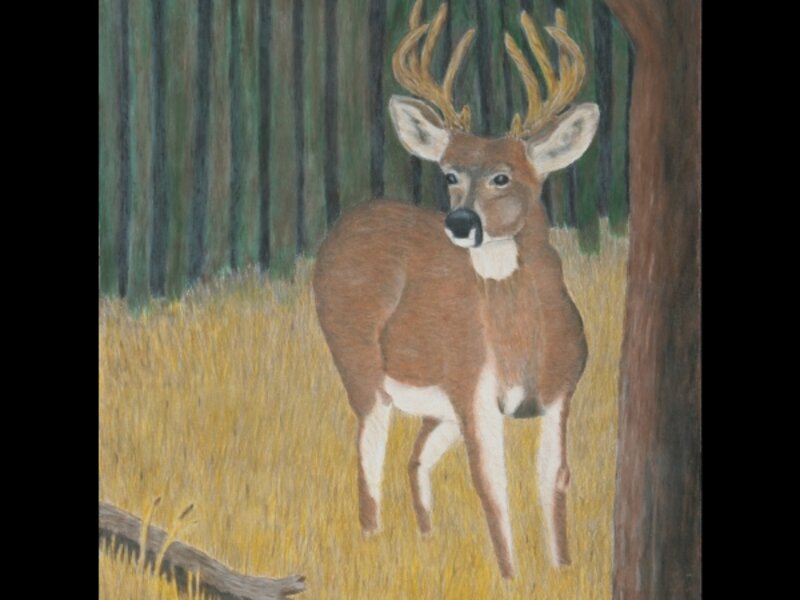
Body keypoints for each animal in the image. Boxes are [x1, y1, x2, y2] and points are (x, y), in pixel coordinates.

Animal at [312, 0, 597, 579]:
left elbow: (554, 481)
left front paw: (561, 568)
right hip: (358, 362)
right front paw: (510, 578)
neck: (519, 344)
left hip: (435, 406)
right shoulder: (473, 386)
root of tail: (344, 223)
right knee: (368, 458)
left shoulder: (561, 390)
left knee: (414, 459)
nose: (461, 222)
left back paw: (426, 540)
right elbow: (492, 486)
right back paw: (373, 543)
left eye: (503, 176)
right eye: (448, 174)